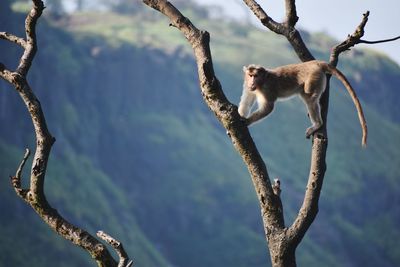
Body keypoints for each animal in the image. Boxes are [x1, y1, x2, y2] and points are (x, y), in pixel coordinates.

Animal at [239, 60, 368, 147]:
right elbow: (246, 102)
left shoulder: (267, 89)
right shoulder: (248, 87)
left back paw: (317, 124)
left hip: (314, 78)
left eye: (255, 76)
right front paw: (240, 116)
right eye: (250, 75)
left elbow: (268, 107)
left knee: (309, 98)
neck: (261, 83)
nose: (252, 82)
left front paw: (247, 121)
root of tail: (315, 62)